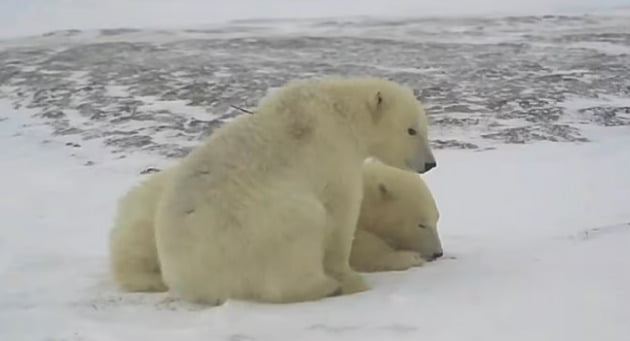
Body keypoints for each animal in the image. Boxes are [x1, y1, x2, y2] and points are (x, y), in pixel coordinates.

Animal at [116, 77, 436, 302]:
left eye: (424, 128)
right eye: (411, 130)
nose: (430, 163)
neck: (339, 112)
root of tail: (186, 280)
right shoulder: (331, 155)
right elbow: (340, 215)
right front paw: (356, 273)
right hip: (258, 231)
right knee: (300, 235)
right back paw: (329, 286)